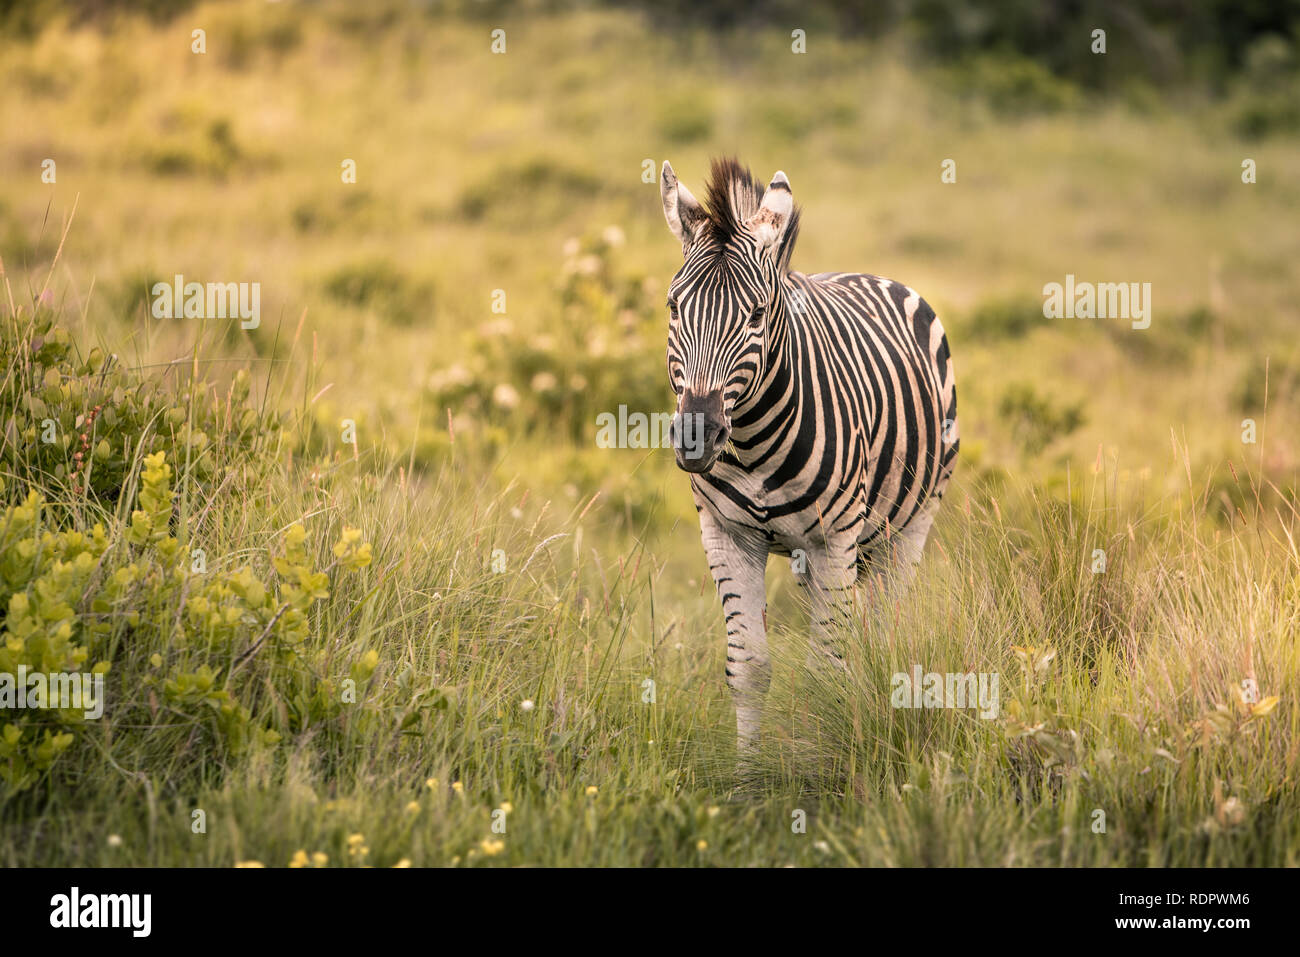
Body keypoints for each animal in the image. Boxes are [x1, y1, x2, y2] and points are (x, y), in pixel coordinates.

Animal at [660, 158, 956, 754]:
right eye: (674, 307)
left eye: (756, 315)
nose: (698, 435)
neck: (752, 442)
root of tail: (867, 274)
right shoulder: (728, 535)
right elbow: (749, 669)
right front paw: (748, 772)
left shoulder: (834, 538)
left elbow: (827, 669)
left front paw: (824, 762)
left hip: (911, 523)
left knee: (880, 630)